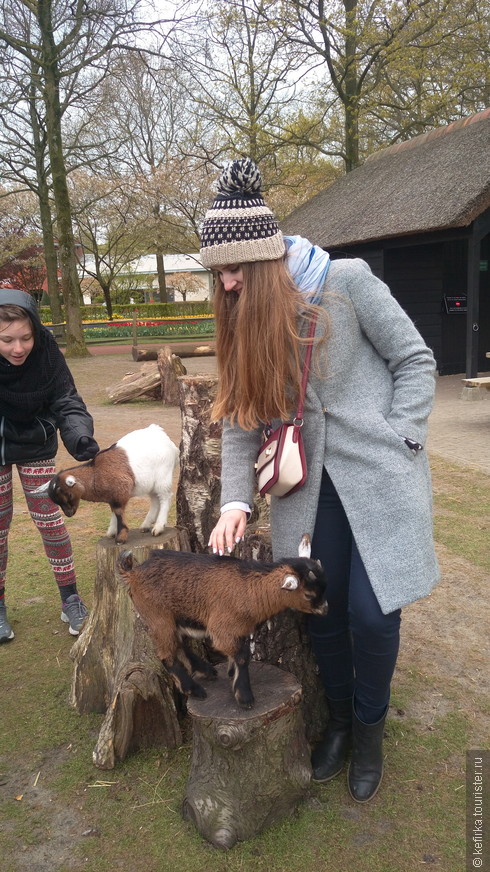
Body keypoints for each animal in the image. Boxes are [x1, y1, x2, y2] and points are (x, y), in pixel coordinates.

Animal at [35, 426, 180, 540]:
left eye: (68, 495)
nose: (69, 514)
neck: (95, 473)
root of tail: (164, 437)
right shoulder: (113, 497)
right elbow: (114, 512)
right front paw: (112, 531)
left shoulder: (120, 492)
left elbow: (118, 512)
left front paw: (120, 537)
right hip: (150, 483)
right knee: (155, 500)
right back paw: (146, 525)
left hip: (163, 475)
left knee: (165, 497)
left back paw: (159, 527)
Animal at [117, 532, 328, 708]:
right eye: (309, 594)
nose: (325, 609)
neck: (251, 590)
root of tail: (133, 574)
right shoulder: (221, 630)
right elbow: (242, 655)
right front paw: (244, 696)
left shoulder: (239, 630)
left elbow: (238, 654)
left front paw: (231, 673)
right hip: (158, 618)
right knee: (166, 655)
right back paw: (194, 689)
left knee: (178, 645)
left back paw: (205, 670)